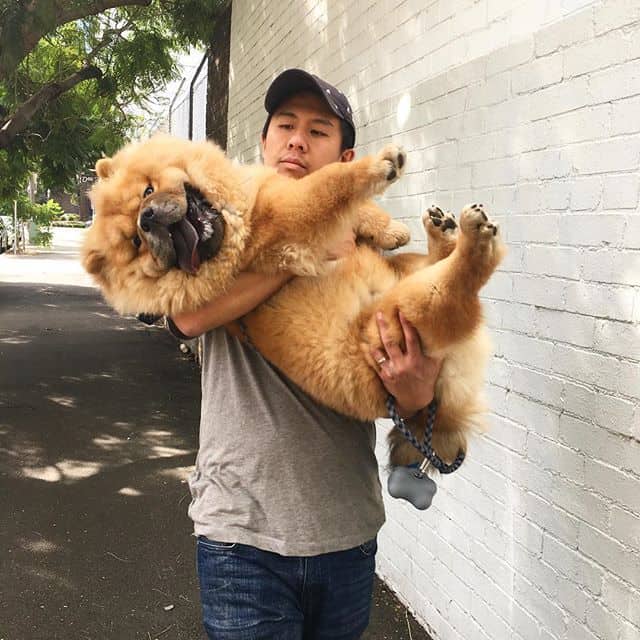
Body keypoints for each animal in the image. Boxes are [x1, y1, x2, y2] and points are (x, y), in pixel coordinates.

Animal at [84, 136, 504, 464]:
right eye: (135, 243)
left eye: (147, 192)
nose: (147, 220)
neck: (232, 223)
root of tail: (443, 406)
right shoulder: (283, 216)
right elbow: (329, 182)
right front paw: (380, 164)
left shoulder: (271, 187)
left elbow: (359, 211)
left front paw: (392, 229)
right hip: (401, 315)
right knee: (460, 285)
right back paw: (474, 240)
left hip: (405, 272)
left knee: (432, 263)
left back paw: (442, 232)